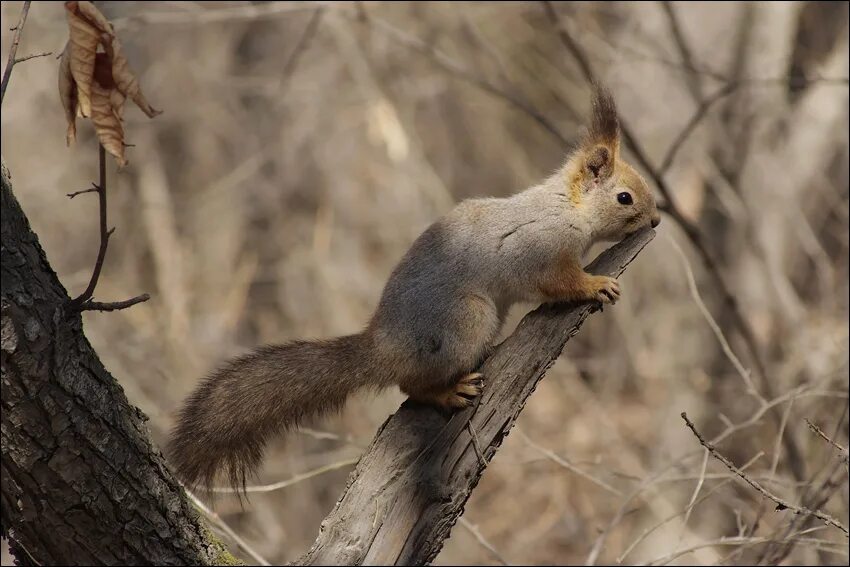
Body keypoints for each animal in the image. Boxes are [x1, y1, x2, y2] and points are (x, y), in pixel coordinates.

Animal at [164, 83, 656, 492]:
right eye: (625, 198)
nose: (655, 221)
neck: (565, 208)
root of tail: (385, 346)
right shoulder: (539, 251)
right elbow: (559, 281)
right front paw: (595, 284)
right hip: (466, 319)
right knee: (410, 386)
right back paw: (448, 391)